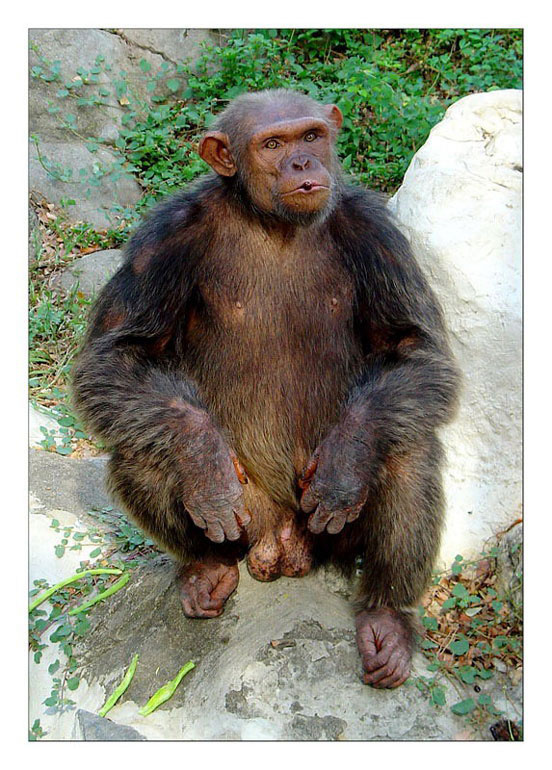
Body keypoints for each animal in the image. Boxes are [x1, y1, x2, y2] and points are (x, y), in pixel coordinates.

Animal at [72, 89, 459, 689]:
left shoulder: (378, 232)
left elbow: (413, 347)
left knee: (409, 448)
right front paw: (203, 459)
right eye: (272, 144)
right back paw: (205, 567)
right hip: (245, 524)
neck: (271, 222)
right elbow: (117, 353)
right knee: (139, 445)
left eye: (311, 136)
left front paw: (344, 464)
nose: (301, 164)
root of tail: (279, 548)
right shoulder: (162, 236)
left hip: (324, 535)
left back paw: (386, 618)